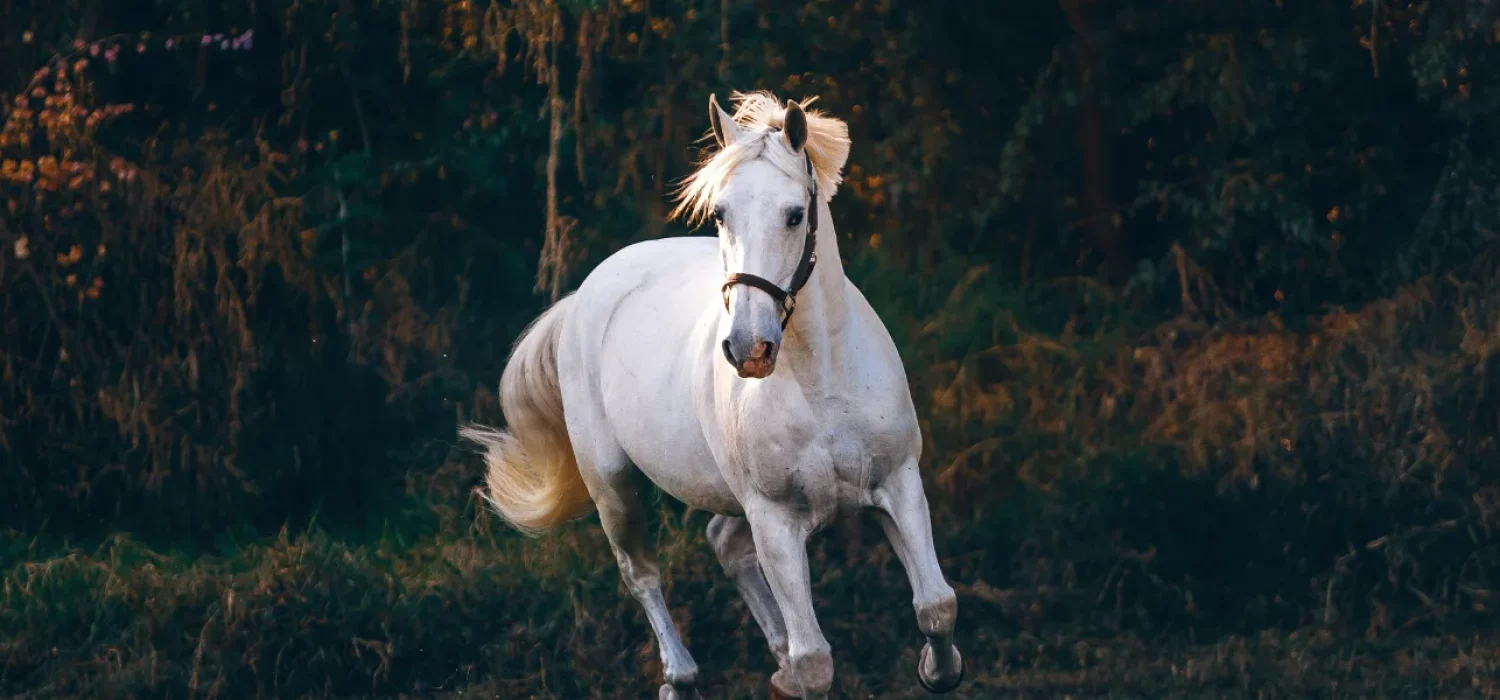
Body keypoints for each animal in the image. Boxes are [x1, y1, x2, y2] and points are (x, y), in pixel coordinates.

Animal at [460, 91, 964, 700]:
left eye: (795, 214)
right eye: (720, 213)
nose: (748, 348)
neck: (821, 382)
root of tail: (585, 294)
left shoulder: (899, 483)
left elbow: (936, 605)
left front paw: (938, 669)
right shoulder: (775, 519)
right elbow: (817, 661)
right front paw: (805, 669)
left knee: (724, 542)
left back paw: (776, 663)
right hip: (614, 485)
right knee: (641, 573)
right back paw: (680, 678)